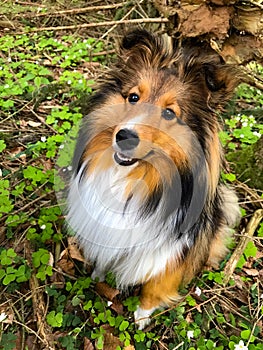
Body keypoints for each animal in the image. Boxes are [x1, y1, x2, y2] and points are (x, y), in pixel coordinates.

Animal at [67, 28, 241, 330]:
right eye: (134, 97)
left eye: (169, 112)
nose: (124, 137)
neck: (131, 177)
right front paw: (98, 273)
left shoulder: (170, 248)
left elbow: (156, 283)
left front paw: (142, 314)